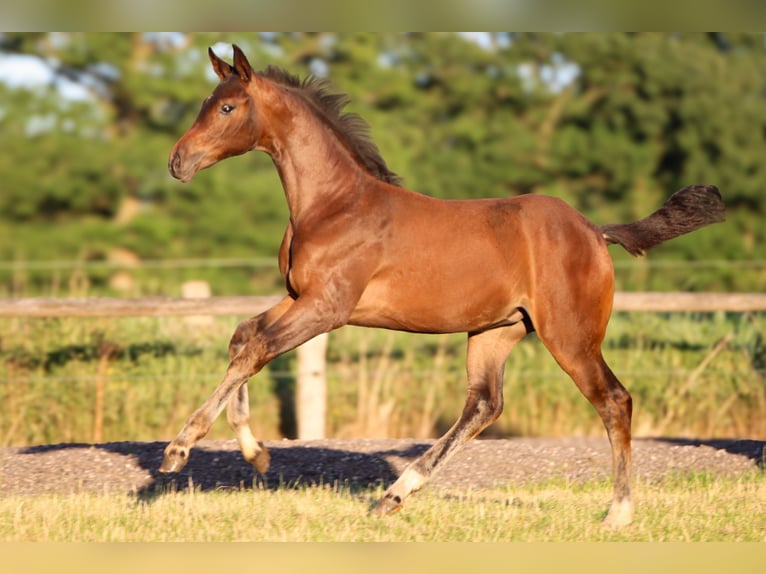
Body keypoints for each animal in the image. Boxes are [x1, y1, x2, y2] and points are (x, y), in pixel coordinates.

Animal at [163, 44, 725, 526]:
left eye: (227, 107)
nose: (177, 162)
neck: (335, 203)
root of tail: (594, 231)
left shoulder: (327, 307)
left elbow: (256, 349)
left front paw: (179, 448)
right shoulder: (298, 298)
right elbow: (244, 339)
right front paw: (256, 454)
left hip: (570, 336)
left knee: (614, 400)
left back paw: (618, 512)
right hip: (497, 330)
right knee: (484, 405)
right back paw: (393, 495)